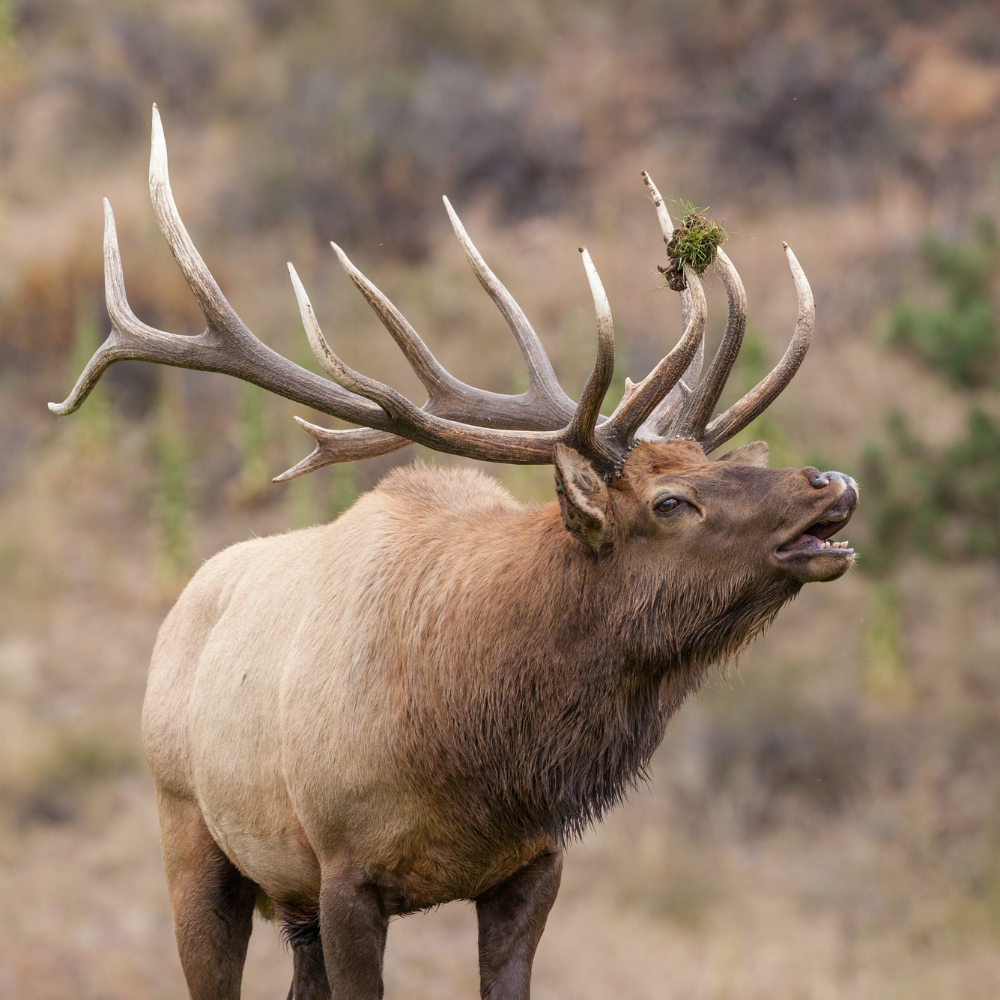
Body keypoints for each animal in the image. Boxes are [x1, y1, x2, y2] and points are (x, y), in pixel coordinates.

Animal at [50, 105, 856, 996]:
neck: (476, 750)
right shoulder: (344, 870)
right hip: (192, 838)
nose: (832, 484)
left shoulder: (532, 864)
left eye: (713, 468)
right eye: (670, 502)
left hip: (286, 898)